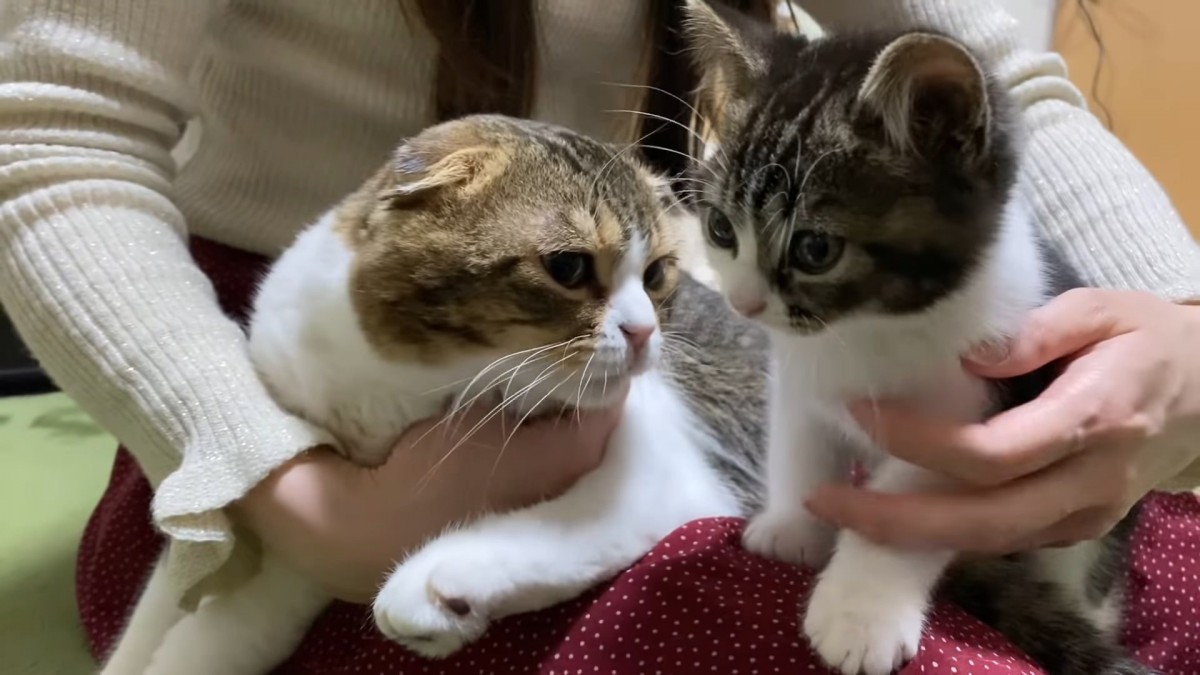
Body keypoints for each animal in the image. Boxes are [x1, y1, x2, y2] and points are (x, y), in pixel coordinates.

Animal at [96, 115, 768, 672]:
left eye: (656, 275)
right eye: (569, 268)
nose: (644, 332)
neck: (395, 389)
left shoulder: (667, 464)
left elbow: (569, 528)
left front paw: (441, 589)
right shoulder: (300, 539)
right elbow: (192, 627)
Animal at [681, 3, 1147, 672]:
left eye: (815, 249)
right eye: (721, 228)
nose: (743, 303)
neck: (870, 325)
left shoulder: (979, 423)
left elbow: (908, 507)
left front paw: (859, 614)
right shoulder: (797, 376)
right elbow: (799, 443)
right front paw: (793, 526)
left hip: (1086, 536)